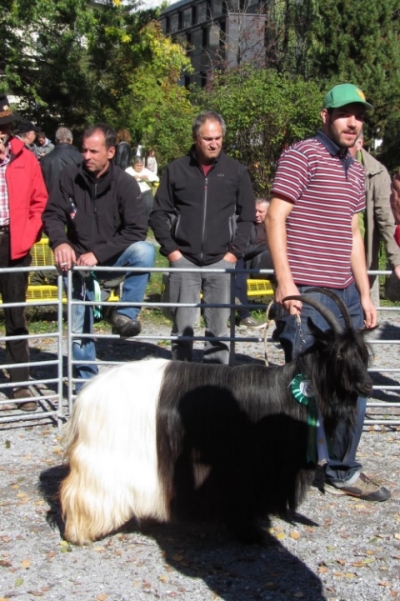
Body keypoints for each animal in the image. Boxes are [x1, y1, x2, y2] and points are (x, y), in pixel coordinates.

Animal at [59, 290, 372, 544]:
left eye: (362, 354)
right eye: (339, 354)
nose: (366, 386)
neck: (292, 392)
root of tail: (86, 399)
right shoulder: (248, 469)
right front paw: (251, 535)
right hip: (103, 461)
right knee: (79, 493)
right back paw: (81, 533)